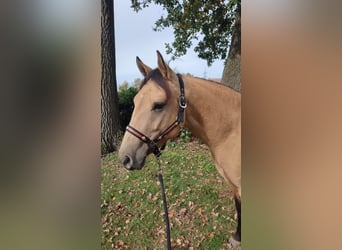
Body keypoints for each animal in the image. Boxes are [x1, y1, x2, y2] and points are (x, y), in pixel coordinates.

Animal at [119, 51, 242, 248]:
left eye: (158, 105)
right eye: (135, 102)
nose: (125, 158)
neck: (232, 130)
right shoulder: (233, 185)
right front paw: (237, 238)